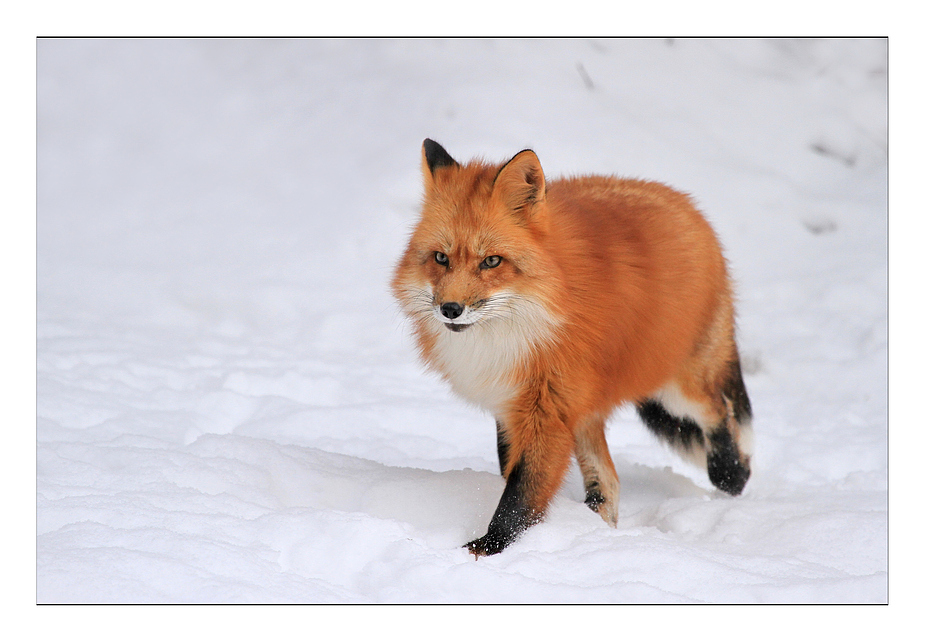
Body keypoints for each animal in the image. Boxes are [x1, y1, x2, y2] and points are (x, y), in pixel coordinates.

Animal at [390, 139, 752, 556]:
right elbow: (517, 479)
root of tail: (687, 204)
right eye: (440, 258)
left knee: (718, 411)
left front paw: (488, 548)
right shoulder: (513, 405)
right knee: (609, 482)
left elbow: (521, 493)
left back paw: (732, 473)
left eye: (492, 261)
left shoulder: (546, 408)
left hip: (675, 386)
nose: (450, 309)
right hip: (587, 410)